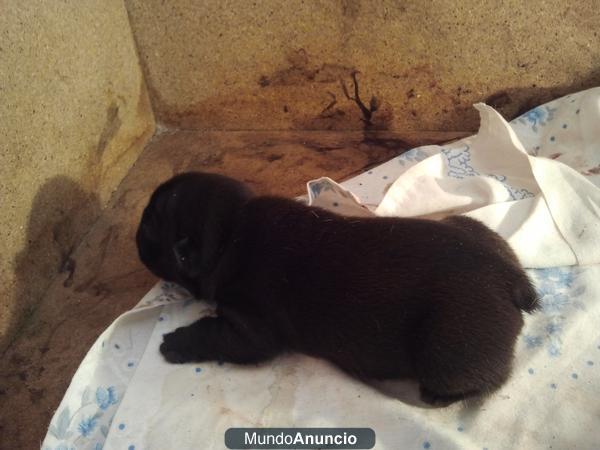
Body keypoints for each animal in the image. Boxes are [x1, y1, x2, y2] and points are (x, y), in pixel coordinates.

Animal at [137, 171, 540, 404]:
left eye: (149, 228)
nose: (135, 240)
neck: (230, 229)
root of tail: (510, 279)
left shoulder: (248, 330)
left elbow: (214, 335)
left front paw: (174, 343)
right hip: (471, 227)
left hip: (446, 352)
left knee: (487, 379)